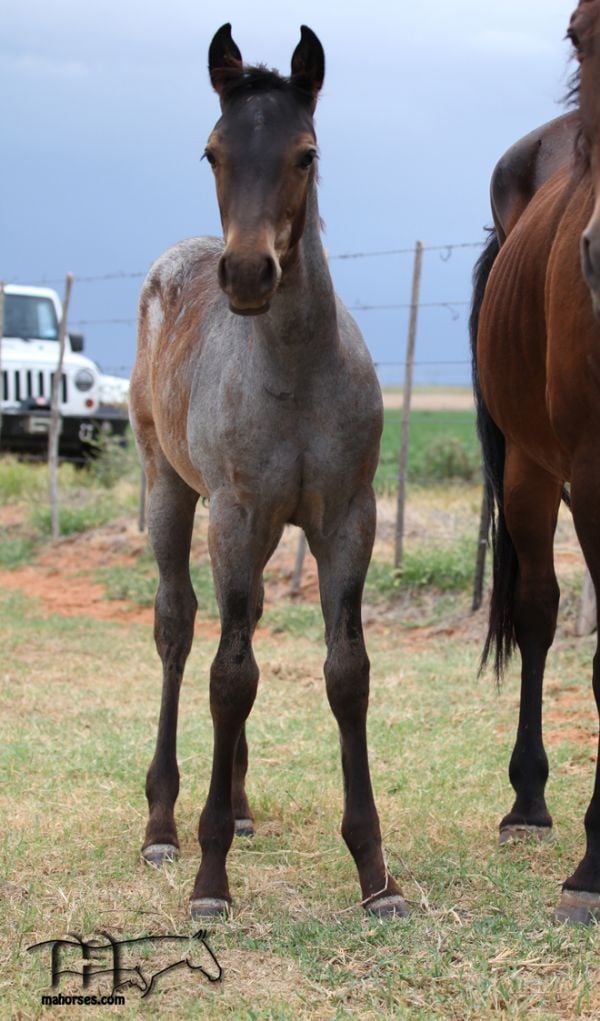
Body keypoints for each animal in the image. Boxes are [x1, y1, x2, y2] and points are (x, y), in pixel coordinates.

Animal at [128, 23, 406, 922]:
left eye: (305, 153)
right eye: (213, 151)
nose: (249, 274)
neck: (296, 370)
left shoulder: (346, 519)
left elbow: (344, 674)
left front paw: (375, 873)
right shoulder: (236, 515)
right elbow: (228, 677)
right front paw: (210, 877)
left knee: (231, 630)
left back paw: (243, 807)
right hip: (171, 493)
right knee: (181, 630)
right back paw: (165, 824)